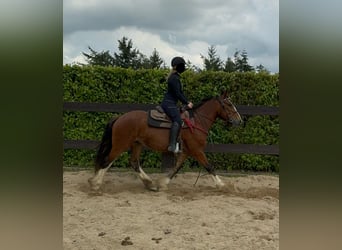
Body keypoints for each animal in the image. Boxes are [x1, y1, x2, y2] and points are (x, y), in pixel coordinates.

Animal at [89, 90, 243, 191]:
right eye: (229, 104)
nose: (239, 120)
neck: (196, 121)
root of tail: (119, 118)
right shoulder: (197, 151)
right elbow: (209, 166)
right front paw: (222, 185)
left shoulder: (186, 152)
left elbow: (176, 168)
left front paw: (163, 183)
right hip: (121, 144)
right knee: (107, 161)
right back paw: (95, 183)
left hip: (137, 144)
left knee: (134, 163)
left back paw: (150, 184)